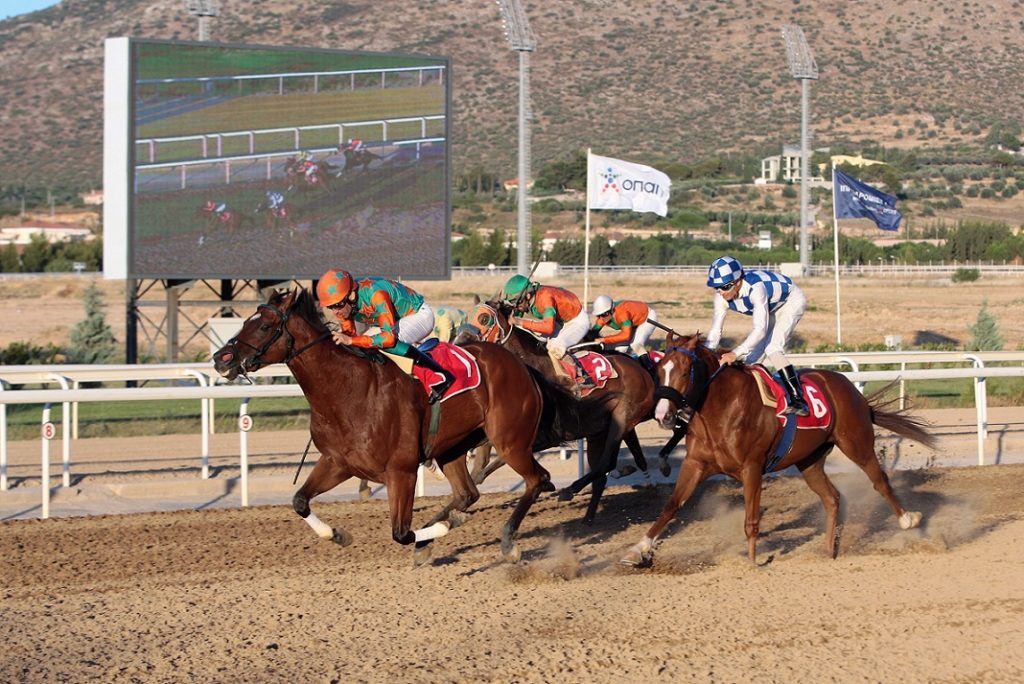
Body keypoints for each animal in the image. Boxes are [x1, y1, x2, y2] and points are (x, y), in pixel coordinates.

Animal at [210, 286, 557, 565]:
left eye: (264, 325)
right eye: (246, 321)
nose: (221, 359)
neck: (346, 390)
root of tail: (521, 365)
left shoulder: (401, 471)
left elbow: (401, 532)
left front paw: (441, 529)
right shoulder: (338, 462)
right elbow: (299, 501)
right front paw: (338, 535)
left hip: (510, 441)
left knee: (537, 479)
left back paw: (508, 541)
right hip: (452, 447)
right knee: (467, 494)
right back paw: (437, 537)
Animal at [456, 296, 655, 520]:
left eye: (484, 318)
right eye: (467, 315)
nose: (459, 343)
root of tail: (641, 369)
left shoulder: (543, 436)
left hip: (621, 419)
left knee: (606, 463)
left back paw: (571, 490)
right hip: (607, 429)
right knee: (613, 463)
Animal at [618, 331, 937, 565]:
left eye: (685, 371)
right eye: (659, 369)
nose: (663, 415)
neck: (721, 409)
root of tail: (849, 387)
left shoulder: (752, 468)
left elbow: (751, 519)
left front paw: (752, 562)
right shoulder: (696, 464)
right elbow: (671, 506)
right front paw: (638, 549)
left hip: (856, 442)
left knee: (879, 480)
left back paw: (908, 519)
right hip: (809, 461)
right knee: (832, 498)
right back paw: (827, 551)